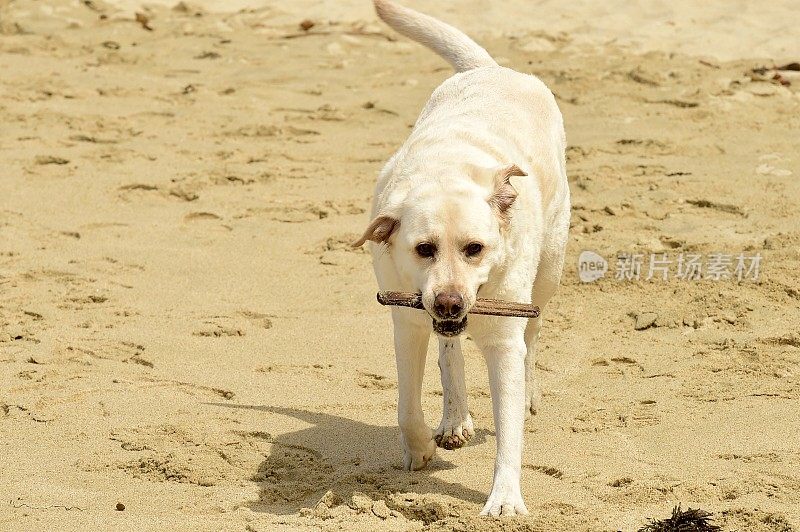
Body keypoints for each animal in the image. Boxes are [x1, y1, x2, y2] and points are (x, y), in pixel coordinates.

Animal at [354, 0, 572, 516]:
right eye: (423, 249)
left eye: (476, 248)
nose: (450, 302)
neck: (446, 172)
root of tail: (491, 69)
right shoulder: (406, 320)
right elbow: (407, 404)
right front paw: (420, 450)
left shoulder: (504, 338)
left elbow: (510, 429)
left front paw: (506, 499)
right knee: (449, 352)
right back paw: (454, 418)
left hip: (549, 269)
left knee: (535, 331)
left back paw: (527, 392)